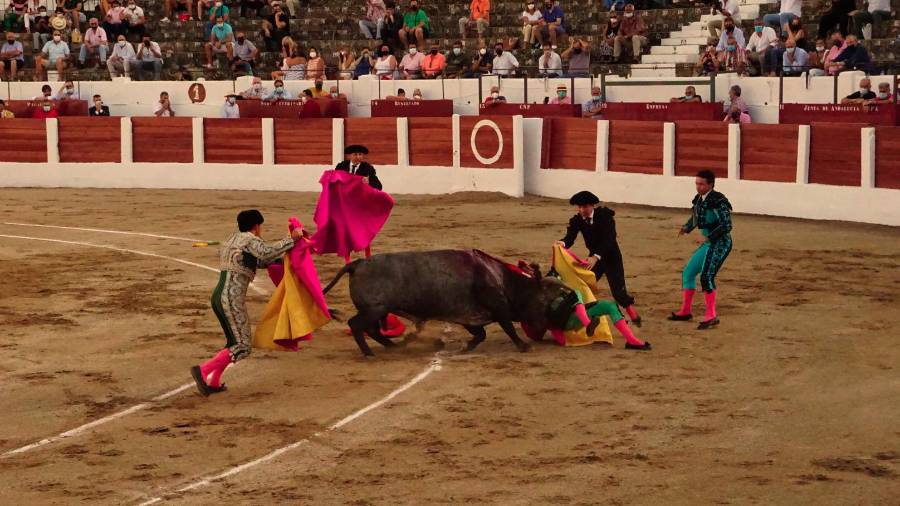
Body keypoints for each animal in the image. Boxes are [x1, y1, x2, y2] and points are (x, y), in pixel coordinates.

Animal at [324, 249, 572, 356]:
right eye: (542, 302)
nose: (541, 330)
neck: (501, 277)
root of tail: (357, 263)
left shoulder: (470, 317)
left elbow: (481, 334)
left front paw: (465, 347)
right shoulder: (498, 308)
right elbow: (508, 328)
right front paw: (523, 346)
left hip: (377, 311)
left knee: (372, 330)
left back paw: (393, 346)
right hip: (375, 309)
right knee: (357, 325)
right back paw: (369, 353)